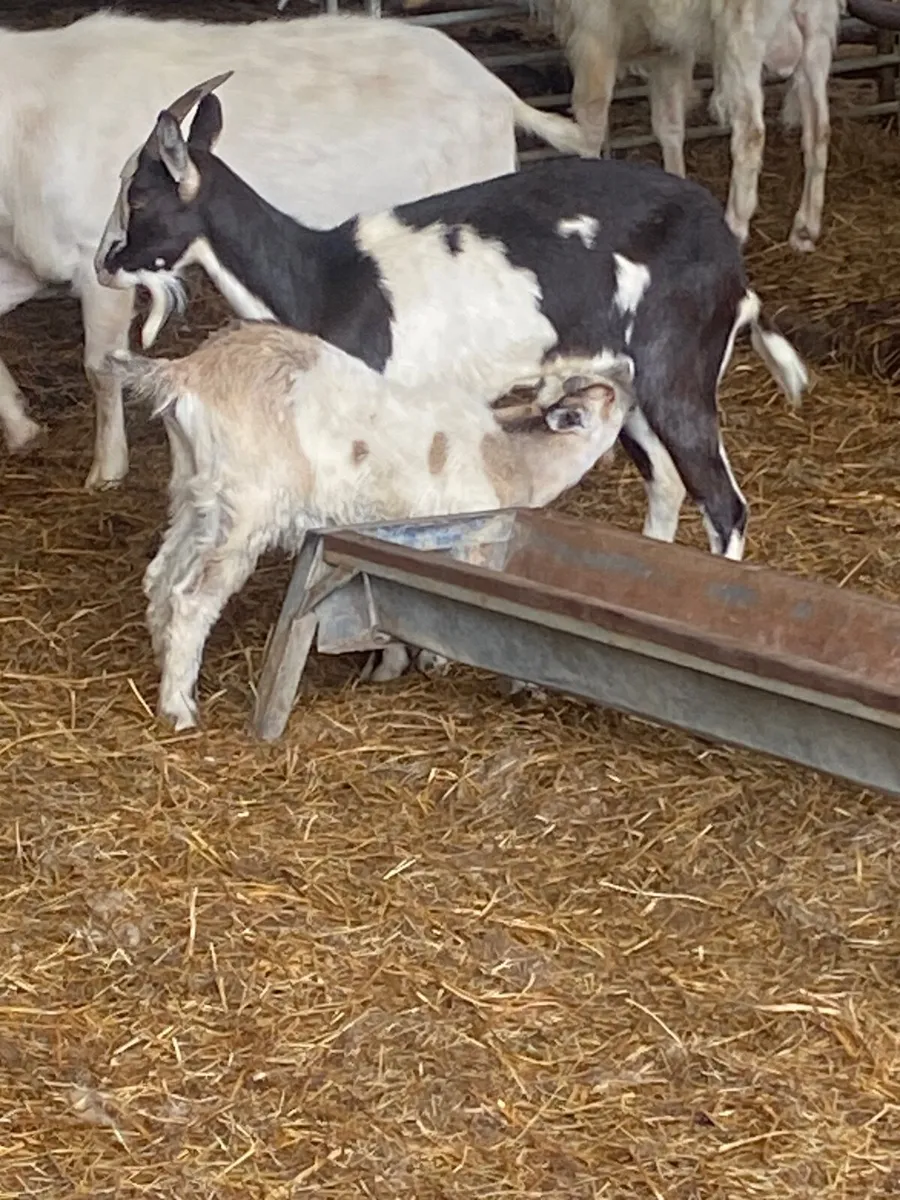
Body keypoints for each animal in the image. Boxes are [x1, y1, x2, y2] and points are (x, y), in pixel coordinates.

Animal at [0, 10, 587, 490]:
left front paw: (106, 469)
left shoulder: (93, 263)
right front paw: (23, 427)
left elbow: (100, 367)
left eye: (135, 195)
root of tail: (494, 88)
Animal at [97, 82, 808, 569]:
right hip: (621, 376)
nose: (105, 263)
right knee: (665, 481)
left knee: (724, 503)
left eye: (139, 197)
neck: (324, 280)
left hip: (678, 370)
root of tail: (735, 269)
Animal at [107, 321, 636, 731]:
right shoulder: (466, 541)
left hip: (197, 497)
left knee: (161, 578)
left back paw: (165, 667)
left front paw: (391, 667)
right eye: (606, 394)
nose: (628, 367)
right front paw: (470, 670)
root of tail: (185, 373)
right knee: (193, 598)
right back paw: (179, 708)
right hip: (246, 510)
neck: (507, 458)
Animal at [531, 0, 844, 251]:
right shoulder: (667, 46)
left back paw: (735, 227)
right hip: (816, 32)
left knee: (751, 134)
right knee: (819, 129)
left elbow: (591, 121)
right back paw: (806, 227)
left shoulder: (593, 25)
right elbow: (668, 125)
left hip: (743, 36)